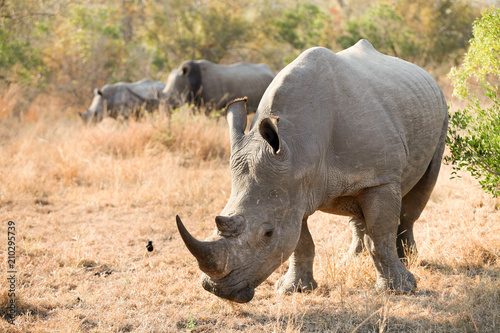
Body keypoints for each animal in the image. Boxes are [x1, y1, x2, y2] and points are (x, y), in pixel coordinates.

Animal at [176, 40, 450, 302]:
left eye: (268, 233)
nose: (218, 290)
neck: (299, 146)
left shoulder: (380, 178)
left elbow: (381, 236)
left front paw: (400, 289)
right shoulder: (292, 187)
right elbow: (300, 242)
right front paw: (293, 289)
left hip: (440, 110)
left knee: (421, 191)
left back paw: (410, 261)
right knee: (358, 208)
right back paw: (352, 261)